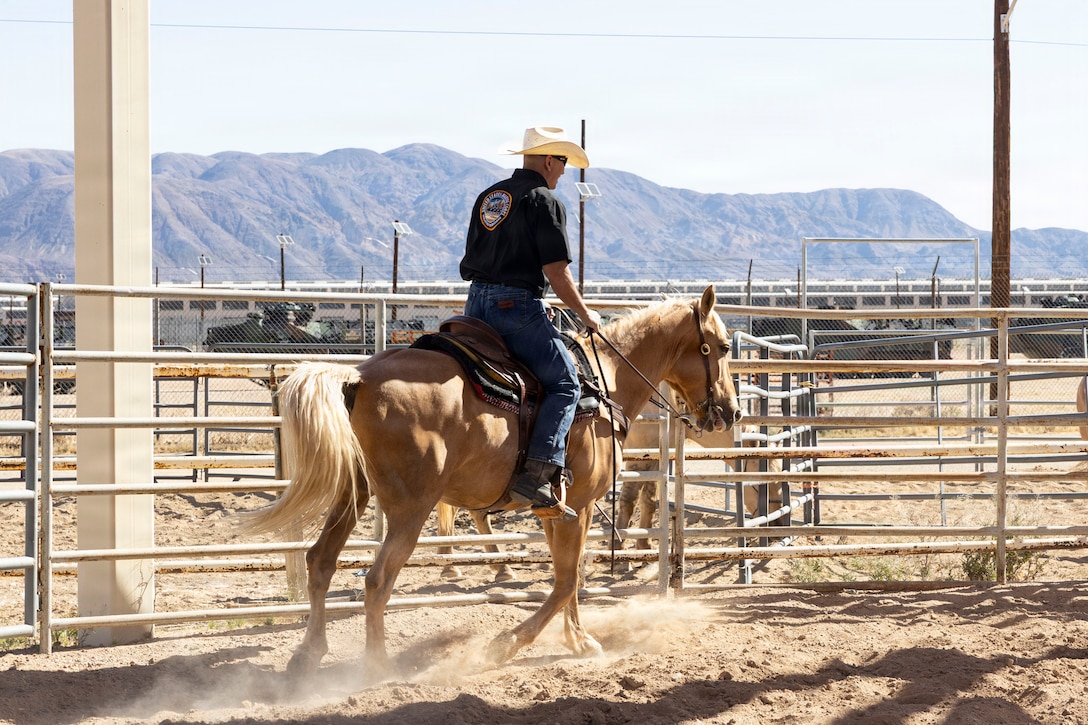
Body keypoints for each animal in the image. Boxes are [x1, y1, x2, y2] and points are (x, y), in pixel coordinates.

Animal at [245, 286, 742, 673]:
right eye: (720, 347)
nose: (732, 412)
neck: (607, 385)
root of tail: (358, 376)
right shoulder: (579, 505)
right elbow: (567, 580)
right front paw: (507, 645)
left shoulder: (556, 509)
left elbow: (567, 577)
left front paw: (578, 641)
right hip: (409, 507)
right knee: (377, 579)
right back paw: (377, 667)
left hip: (354, 493)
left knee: (320, 562)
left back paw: (308, 655)